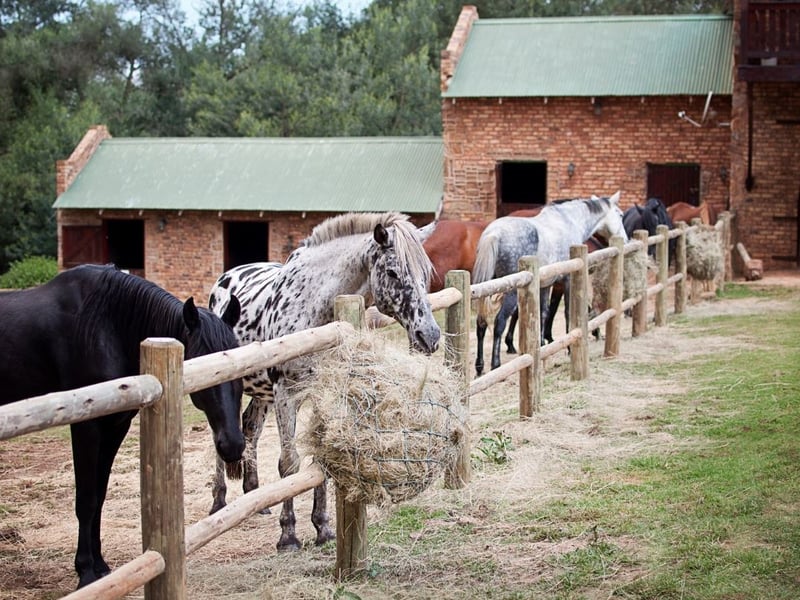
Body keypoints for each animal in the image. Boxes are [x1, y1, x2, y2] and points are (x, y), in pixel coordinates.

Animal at [0, 264, 244, 588]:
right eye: (200, 367)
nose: (233, 446)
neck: (107, 325)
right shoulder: (87, 427)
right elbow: (86, 499)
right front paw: (86, 572)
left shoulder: (116, 427)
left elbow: (100, 495)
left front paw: (101, 565)